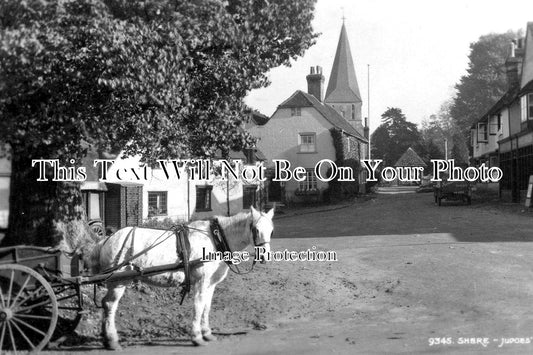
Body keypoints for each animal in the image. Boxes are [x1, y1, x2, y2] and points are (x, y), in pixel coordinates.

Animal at [87, 207, 274, 352]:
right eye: (256, 229)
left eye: (271, 230)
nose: (265, 256)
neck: (215, 239)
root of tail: (107, 239)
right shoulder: (201, 282)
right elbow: (199, 306)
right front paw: (197, 337)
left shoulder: (210, 284)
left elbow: (207, 306)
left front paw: (207, 333)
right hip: (118, 282)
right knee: (110, 305)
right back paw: (112, 340)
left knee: (105, 303)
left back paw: (106, 339)